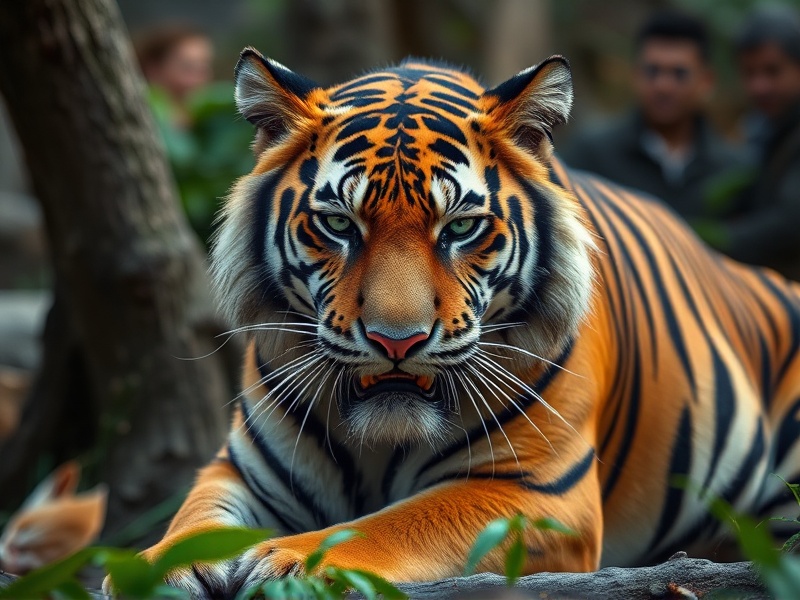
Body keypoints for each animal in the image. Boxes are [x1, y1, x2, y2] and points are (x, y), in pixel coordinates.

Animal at [105, 48, 800, 597]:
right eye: (338, 224)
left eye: (461, 227)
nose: (397, 341)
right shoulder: (239, 469)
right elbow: (192, 522)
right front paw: (153, 569)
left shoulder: (538, 493)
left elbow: (391, 523)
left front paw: (290, 563)